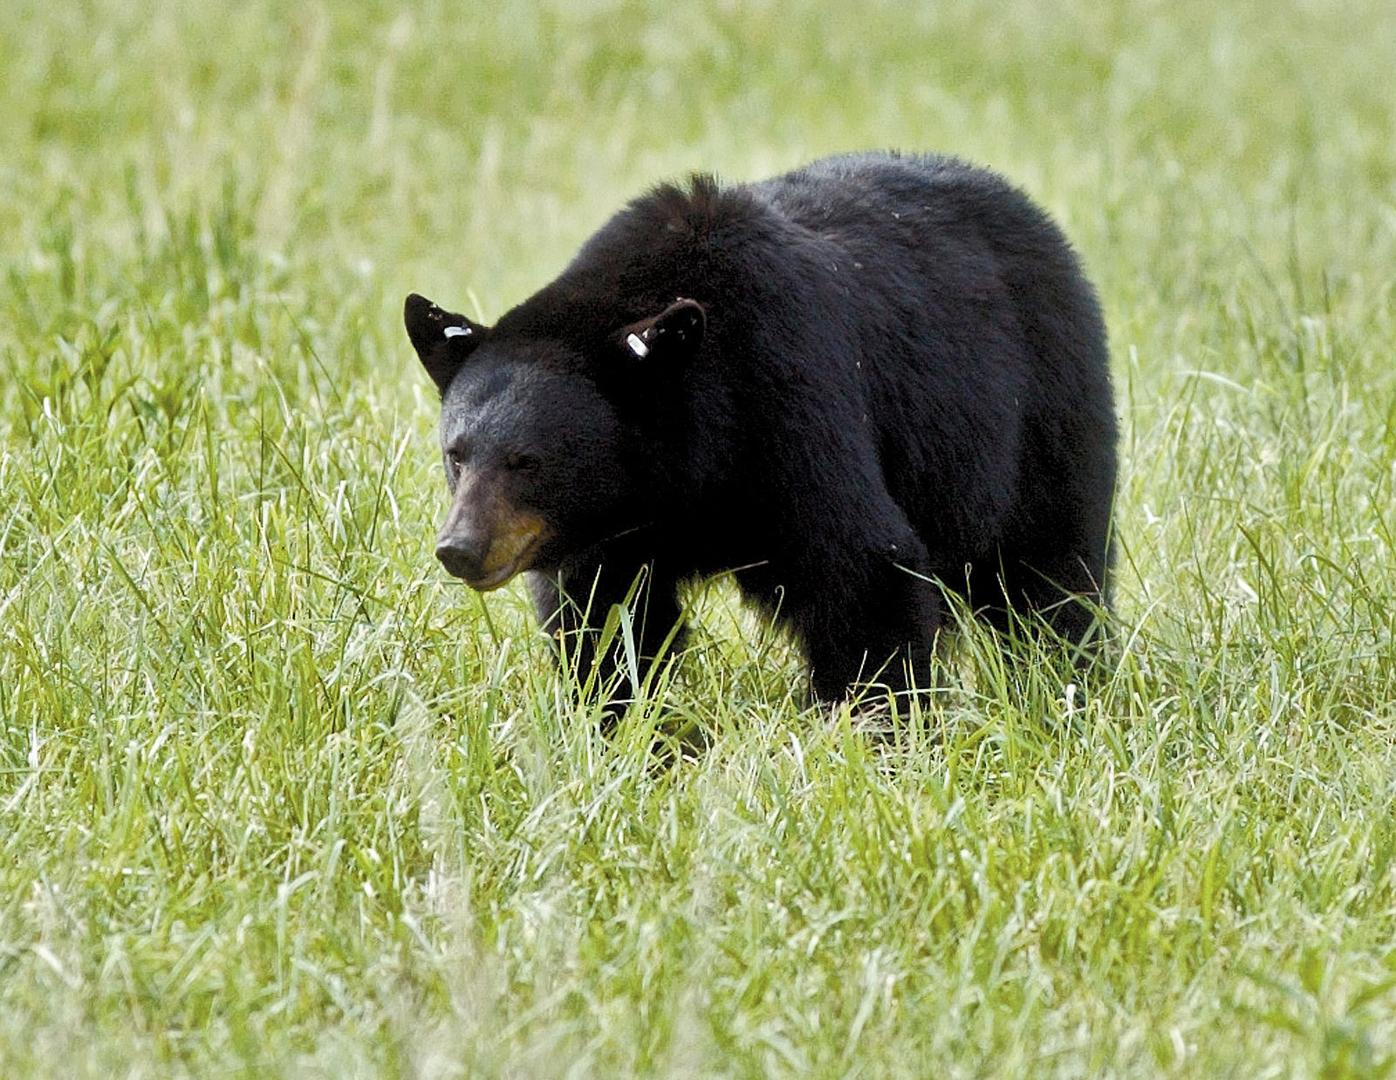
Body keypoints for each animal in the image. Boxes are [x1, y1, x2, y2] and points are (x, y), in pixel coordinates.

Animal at [405, 151, 1117, 705]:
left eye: (529, 460)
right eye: (457, 454)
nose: (460, 547)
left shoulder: (788, 399)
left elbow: (863, 571)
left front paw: (880, 734)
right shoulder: (612, 533)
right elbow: (605, 619)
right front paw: (624, 730)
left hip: (1036, 414)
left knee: (1052, 572)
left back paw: (1069, 684)